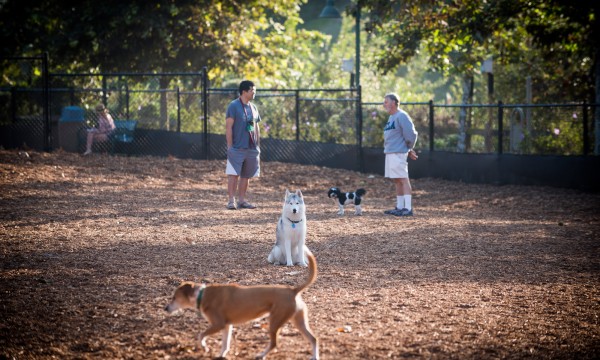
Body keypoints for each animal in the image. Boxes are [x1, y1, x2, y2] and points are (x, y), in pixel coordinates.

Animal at [162, 252, 316, 358]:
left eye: (174, 297)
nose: (166, 308)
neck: (201, 294)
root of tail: (292, 290)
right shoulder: (227, 326)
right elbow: (225, 344)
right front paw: (221, 356)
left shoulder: (218, 324)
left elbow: (201, 335)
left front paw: (205, 348)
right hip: (298, 321)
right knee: (313, 339)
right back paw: (314, 357)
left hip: (275, 321)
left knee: (274, 344)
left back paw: (261, 355)